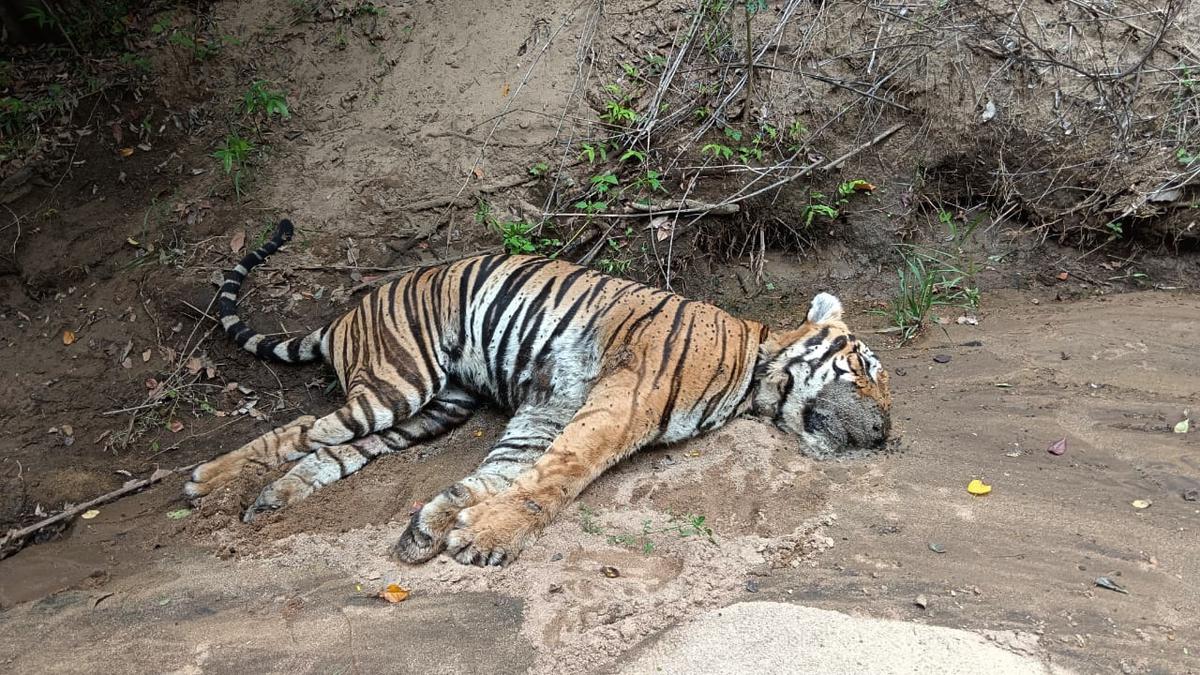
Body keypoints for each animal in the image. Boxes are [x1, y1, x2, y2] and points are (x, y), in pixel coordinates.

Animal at [187, 219, 892, 562]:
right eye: (863, 372)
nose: (887, 434)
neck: (751, 370)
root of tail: (345, 314)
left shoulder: (545, 414)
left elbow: (502, 476)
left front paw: (434, 527)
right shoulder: (619, 403)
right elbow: (557, 479)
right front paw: (487, 539)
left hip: (433, 409)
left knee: (330, 448)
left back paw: (266, 497)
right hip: (399, 382)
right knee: (307, 429)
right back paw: (211, 484)